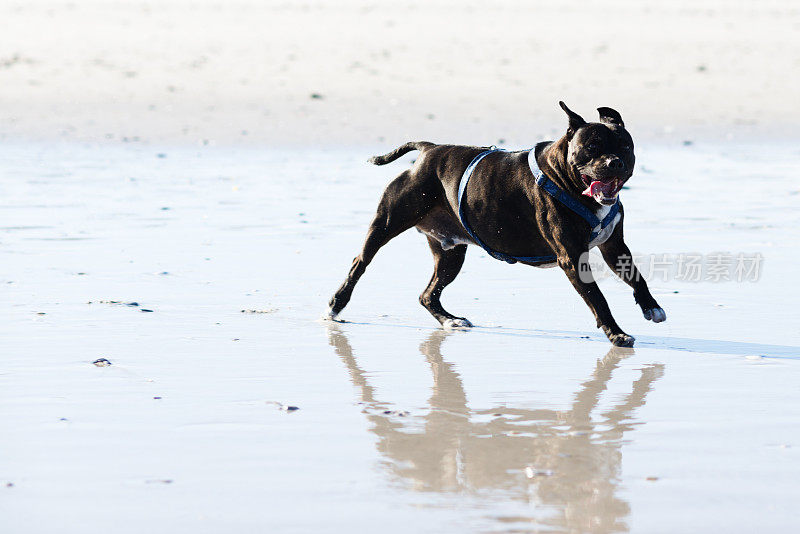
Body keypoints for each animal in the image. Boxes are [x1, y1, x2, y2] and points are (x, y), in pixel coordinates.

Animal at [328, 102, 664, 350]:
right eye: (593, 147)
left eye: (625, 146)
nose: (614, 162)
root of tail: (428, 149)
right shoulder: (571, 256)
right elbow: (597, 298)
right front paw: (617, 334)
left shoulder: (614, 246)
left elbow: (636, 278)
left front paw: (651, 307)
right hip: (385, 225)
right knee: (360, 263)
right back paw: (335, 306)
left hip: (451, 255)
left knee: (428, 294)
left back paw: (450, 320)